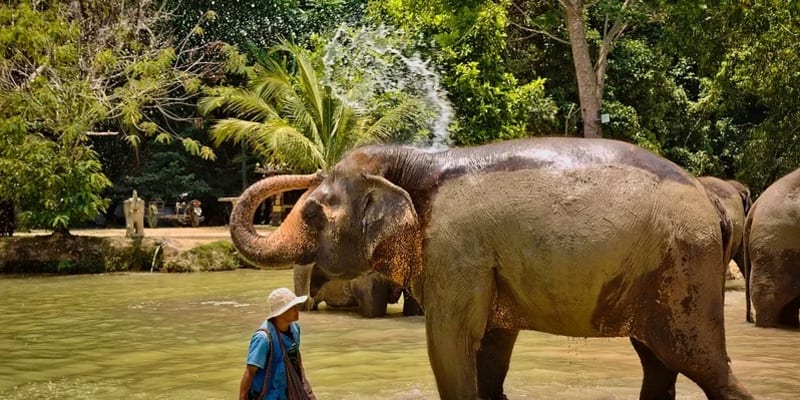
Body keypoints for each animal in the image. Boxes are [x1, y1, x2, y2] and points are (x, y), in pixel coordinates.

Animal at [229, 137, 752, 400]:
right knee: (659, 364)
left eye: (314, 213)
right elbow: (491, 354)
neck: (418, 162)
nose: (311, 169)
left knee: (702, 365)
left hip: (686, 268)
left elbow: (450, 345)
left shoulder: (456, 251)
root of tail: (711, 202)